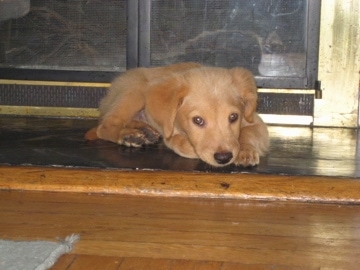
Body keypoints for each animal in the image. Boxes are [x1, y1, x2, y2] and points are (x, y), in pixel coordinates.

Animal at [86, 62, 268, 167]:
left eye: (233, 117)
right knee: (106, 126)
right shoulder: (170, 131)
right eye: (197, 120)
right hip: (136, 90)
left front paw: (245, 150)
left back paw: (145, 131)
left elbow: (247, 133)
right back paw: (128, 135)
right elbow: (177, 142)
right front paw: (193, 150)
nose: (223, 158)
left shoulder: (255, 122)